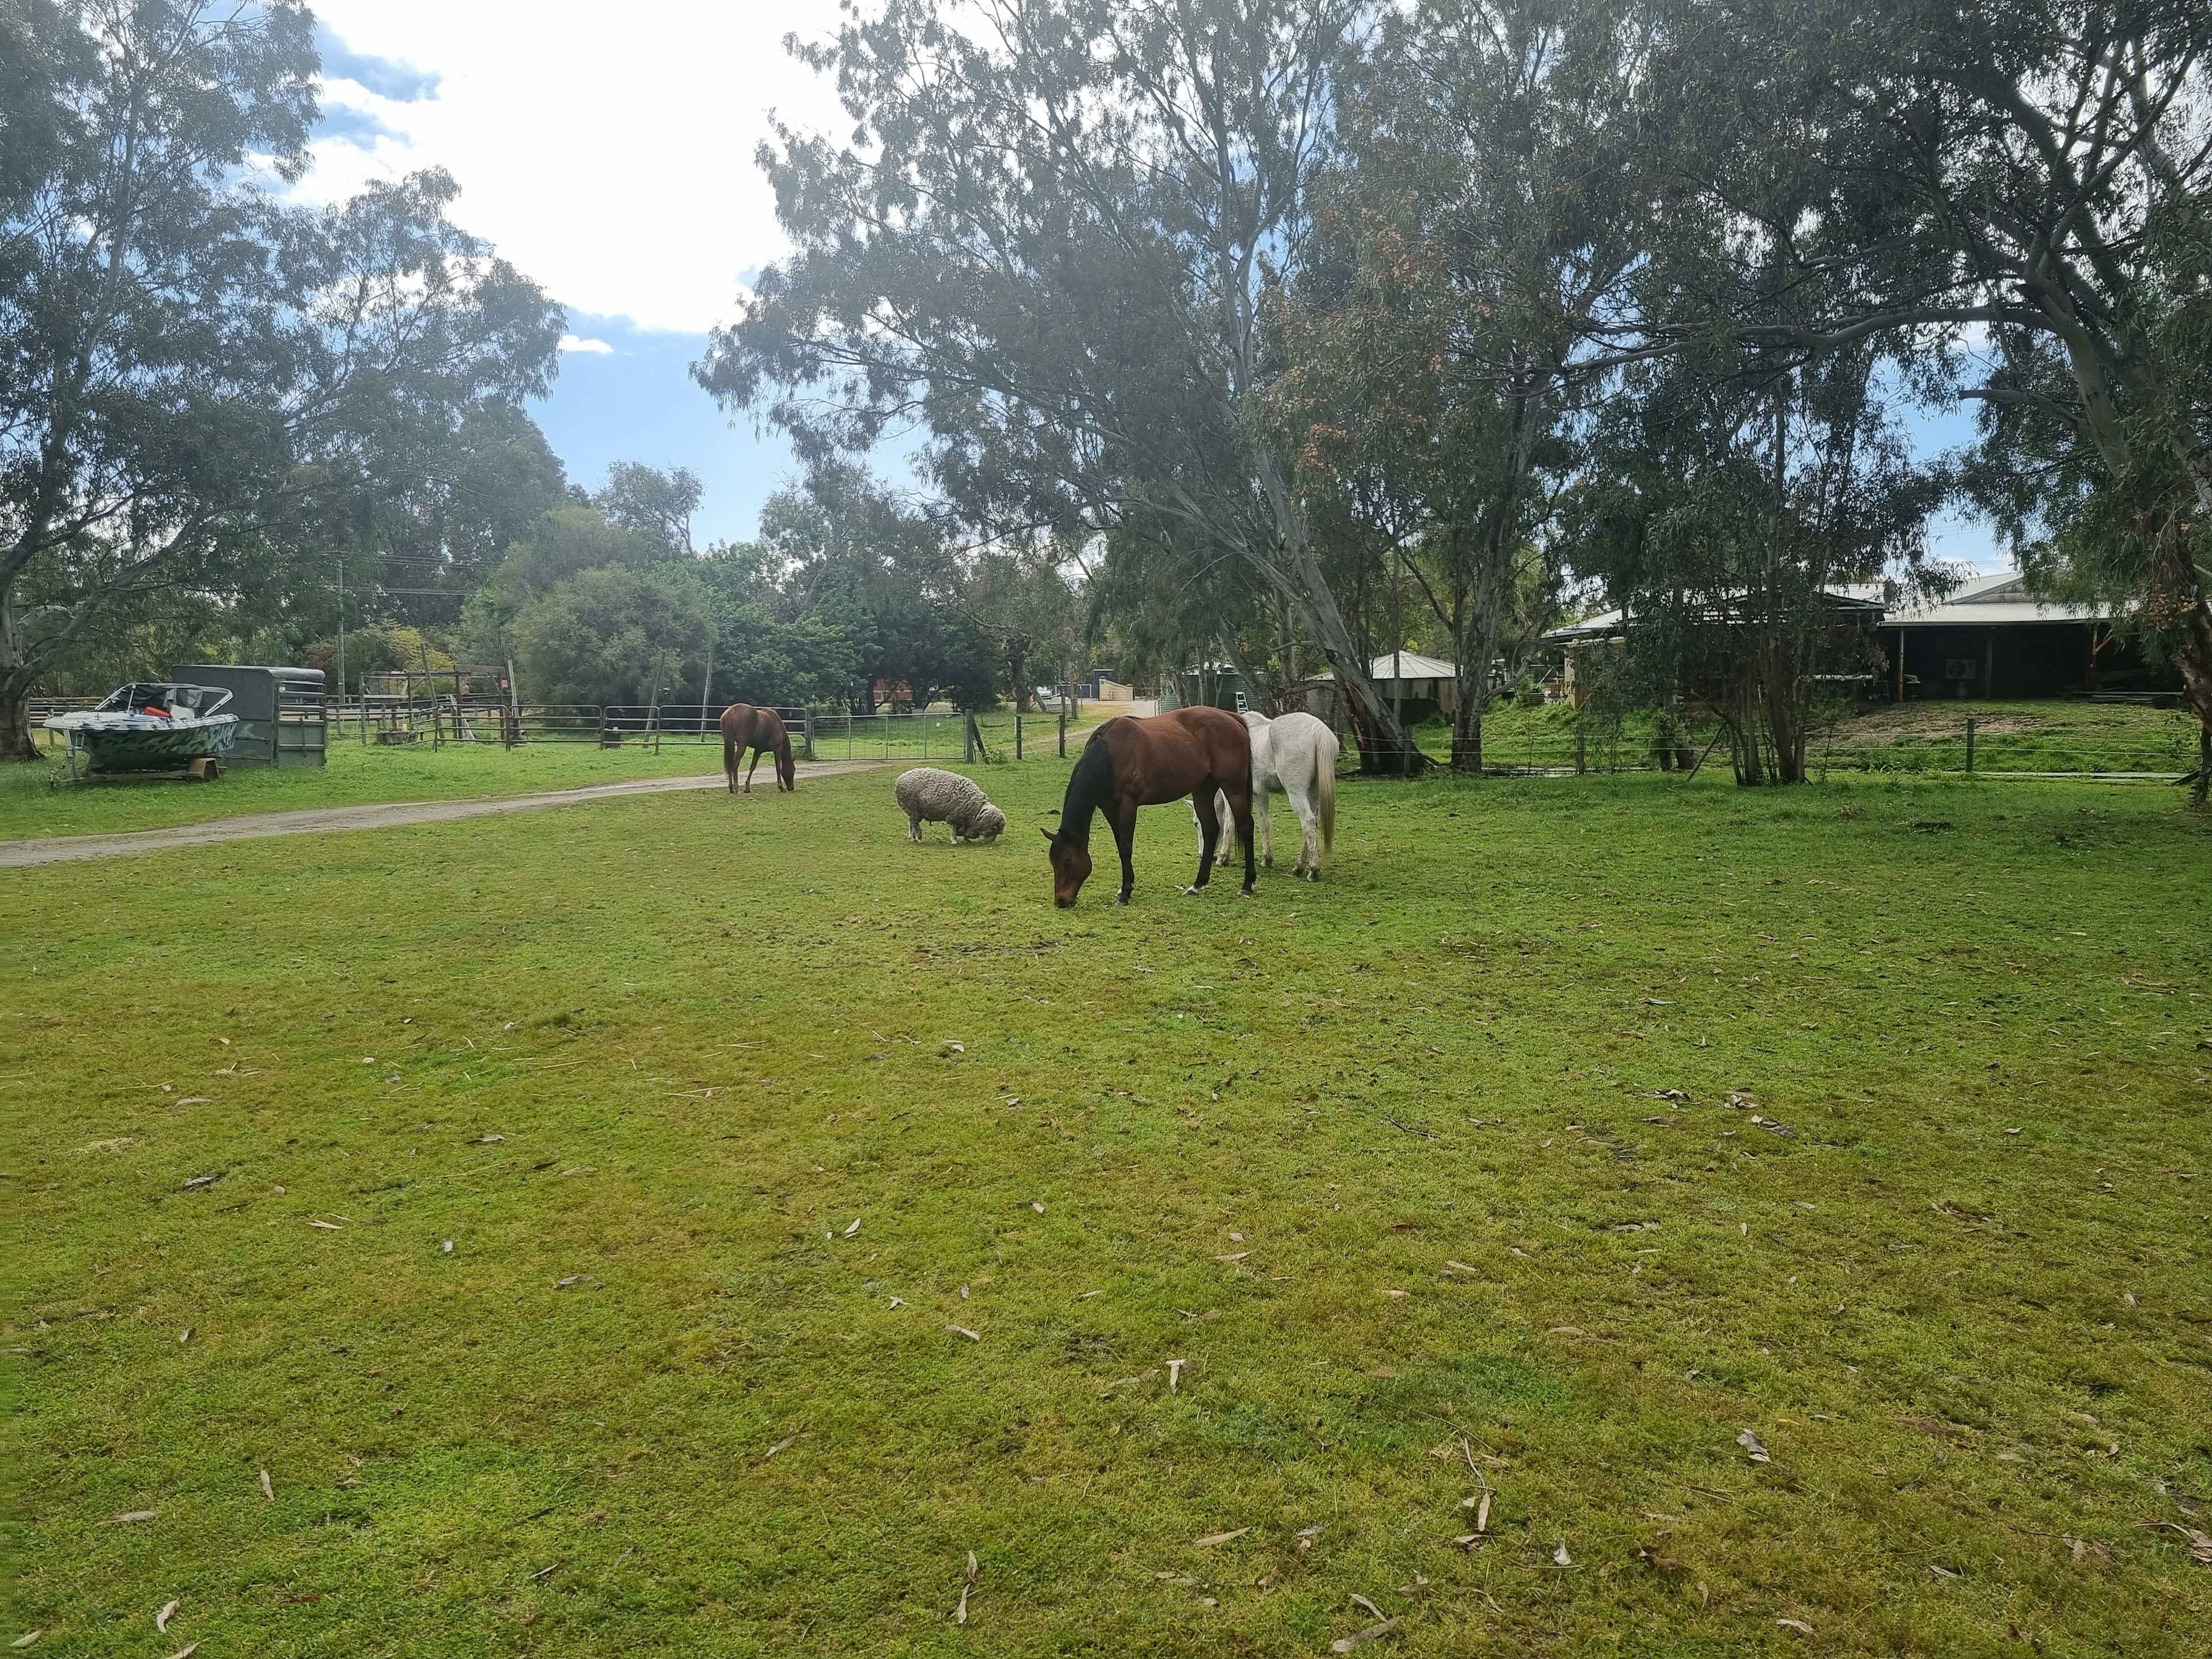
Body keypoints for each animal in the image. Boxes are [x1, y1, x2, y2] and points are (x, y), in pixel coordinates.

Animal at [719, 703, 795, 793]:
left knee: (731, 763)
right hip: (742, 745)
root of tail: (731, 712)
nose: (792, 787)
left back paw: (731, 788)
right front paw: (781, 787)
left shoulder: (758, 750)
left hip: (729, 741)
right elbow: (778, 768)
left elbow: (753, 766)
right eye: (793, 770)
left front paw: (747, 788)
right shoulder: (778, 749)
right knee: (735, 763)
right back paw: (737, 788)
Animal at [895, 767, 1006, 844]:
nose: (989, 843)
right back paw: (918, 838)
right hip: (913, 809)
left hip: (912, 811)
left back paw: (912, 837)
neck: (976, 810)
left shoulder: (964, 819)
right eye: (994, 829)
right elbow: (954, 829)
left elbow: (961, 830)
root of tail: (900, 779)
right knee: (914, 824)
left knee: (911, 823)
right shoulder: (955, 815)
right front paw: (954, 841)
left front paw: (966, 839)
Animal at [1044, 705, 1257, 907]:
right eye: (1053, 861)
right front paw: (1125, 888)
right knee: (1211, 830)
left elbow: (1126, 847)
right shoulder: (1110, 809)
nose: (1061, 901)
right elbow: (1120, 845)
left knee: (1246, 826)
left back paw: (1247, 884)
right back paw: (1198, 885)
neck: (1110, 754)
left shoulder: (1128, 805)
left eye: (1068, 861)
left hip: (1234, 789)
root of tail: (1232, 718)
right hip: (1203, 790)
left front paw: (1125, 893)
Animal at [1194, 710, 1339, 880]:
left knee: (1308, 822)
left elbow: (1230, 823)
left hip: (1297, 794)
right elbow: (1265, 824)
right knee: (1311, 825)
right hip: (1313, 794)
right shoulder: (1262, 794)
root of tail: (1318, 728)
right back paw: (1299, 867)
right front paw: (1267, 859)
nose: (1202, 854)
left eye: (1197, 823)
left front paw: (1223, 857)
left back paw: (1313, 870)